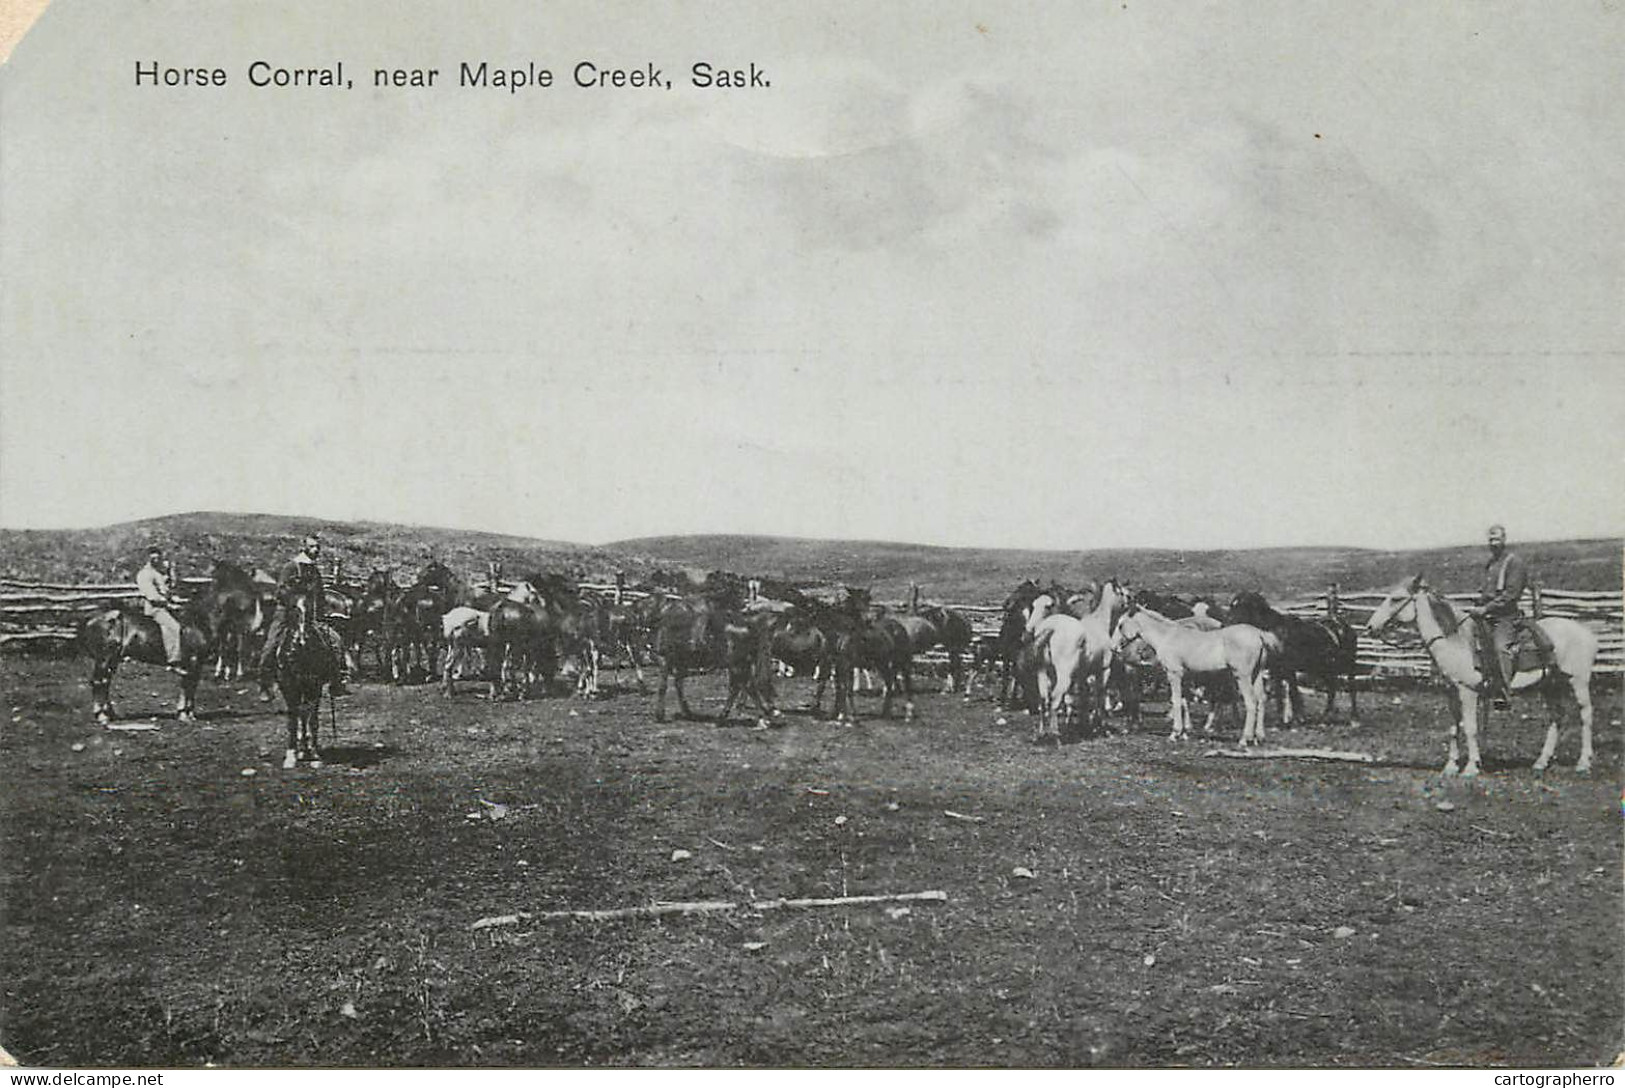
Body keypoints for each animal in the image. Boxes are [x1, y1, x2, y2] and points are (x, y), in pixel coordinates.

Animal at [78, 597, 211, 724]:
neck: (197, 622)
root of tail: (91, 618)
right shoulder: (193, 662)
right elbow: (188, 688)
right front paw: (184, 715)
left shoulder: (195, 665)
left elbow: (190, 687)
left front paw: (188, 714)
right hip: (104, 658)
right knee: (99, 682)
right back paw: (101, 716)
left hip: (112, 659)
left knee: (105, 682)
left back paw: (111, 714)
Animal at [1228, 591, 1358, 727]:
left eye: (1242, 605)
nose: (1227, 622)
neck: (1276, 634)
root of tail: (1345, 626)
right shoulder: (1276, 670)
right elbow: (1279, 693)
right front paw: (1281, 719)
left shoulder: (1289, 669)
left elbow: (1293, 692)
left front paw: (1298, 718)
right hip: (1323, 669)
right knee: (1332, 689)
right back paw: (1324, 718)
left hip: (1349, 665)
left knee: (1351, 688)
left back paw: (1353, 718)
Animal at [1358, 578, 1599, 776]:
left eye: (1396, 598)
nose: (1370, 626)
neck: (1455, 641)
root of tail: (1586, 632)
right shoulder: (1451, 692)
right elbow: (1454, 729)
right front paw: (1450, 767)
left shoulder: (1468, 692)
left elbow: (1470, 728)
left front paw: (1471, 767)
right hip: (1550, 685)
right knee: (1557, 718)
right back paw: (1541, 762)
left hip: (1577, 681)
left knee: (1586, 716)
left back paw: (1583, 763)